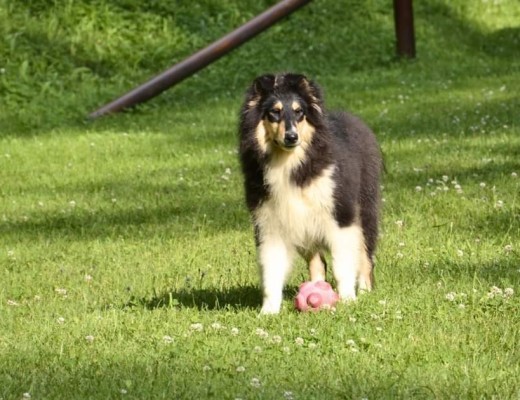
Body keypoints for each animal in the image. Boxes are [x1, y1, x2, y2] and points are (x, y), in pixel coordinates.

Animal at [240, 73, 382, 314]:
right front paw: (268, 312)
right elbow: (271, 271)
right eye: (274, 112)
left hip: (364, 211)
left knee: (365, 257)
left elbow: (343, 264)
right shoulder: (269, 223)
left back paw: (363, 292)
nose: (291, 137)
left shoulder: (340, 216)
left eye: (299, 112)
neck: (290, 165)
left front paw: (348, 300)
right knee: (318, 262)